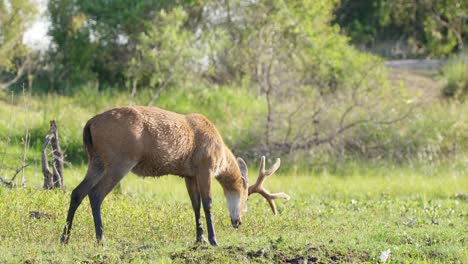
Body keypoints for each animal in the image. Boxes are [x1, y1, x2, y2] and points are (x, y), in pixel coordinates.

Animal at [59, 105, 288, 245]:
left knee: (77, 192)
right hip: (120, 160)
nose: (238, 221)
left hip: (96, 160)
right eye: (244, 198)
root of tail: (89, 124)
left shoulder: (188, 174)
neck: (221, 157)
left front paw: (200, 238)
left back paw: (65, 237)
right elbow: (208, 203)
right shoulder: (205, 167)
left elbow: (195, 204)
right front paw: (213, 239)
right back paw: (101, 238)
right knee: (95, 194)